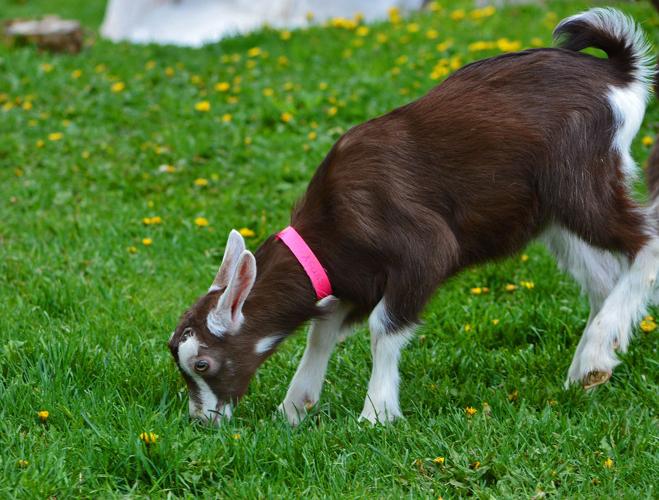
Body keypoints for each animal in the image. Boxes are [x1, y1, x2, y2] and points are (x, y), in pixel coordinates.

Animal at [168, 8, 656, 425]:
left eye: (203, 362)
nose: (202, 421)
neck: (331, 228)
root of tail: (618, 74)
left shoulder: (423, 251)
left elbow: (383, 328)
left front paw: (375, 413)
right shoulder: (354, 279)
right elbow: (321, 330)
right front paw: (294, 408)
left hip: (581, 181)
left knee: (645, 240)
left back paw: (595, 354)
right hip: (555, 217)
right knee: (604, 279)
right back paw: (590, 368)